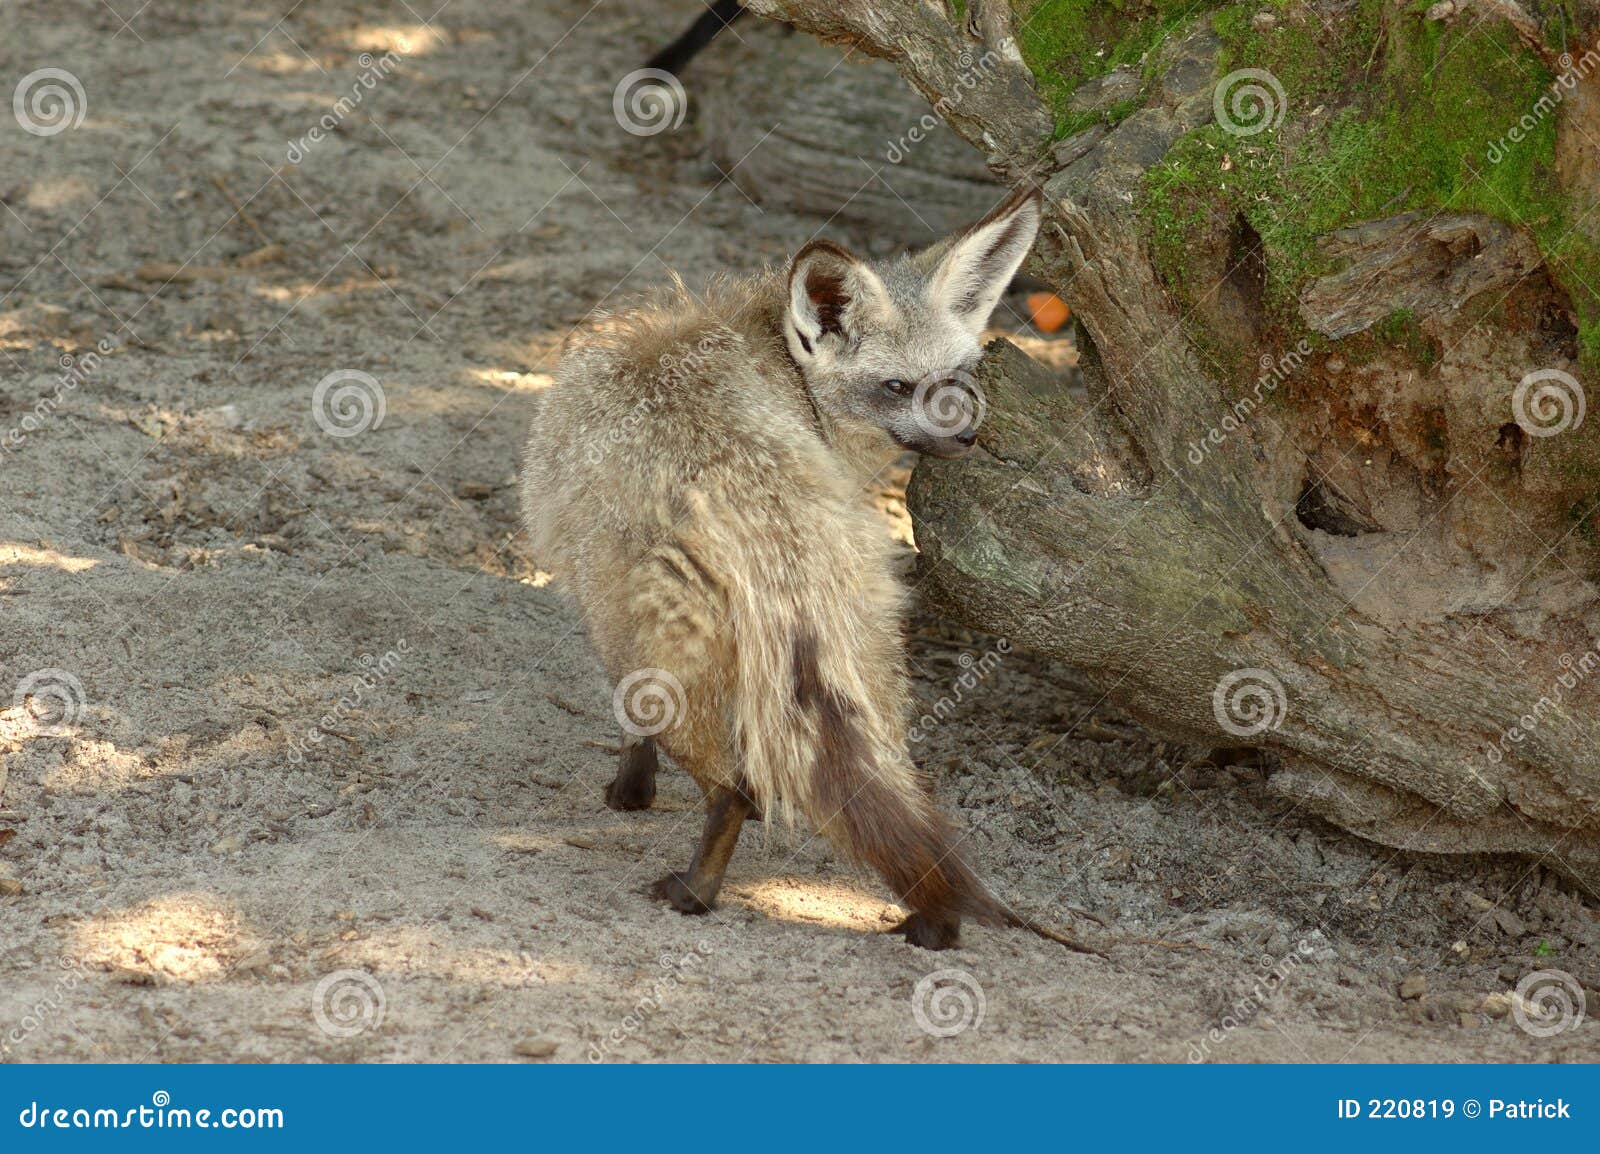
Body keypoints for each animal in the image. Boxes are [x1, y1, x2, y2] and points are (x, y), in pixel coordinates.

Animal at [524, 186, 1043, 947]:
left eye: (956, 378)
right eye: (898, 385)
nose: (969, 435)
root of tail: (756, 501)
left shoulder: (602, 613)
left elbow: (629, 728)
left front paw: (629, 792)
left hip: (659, 653)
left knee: (733, 792)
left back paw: (696, 891)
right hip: (873, 668)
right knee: (901, 800)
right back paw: (935, 921)